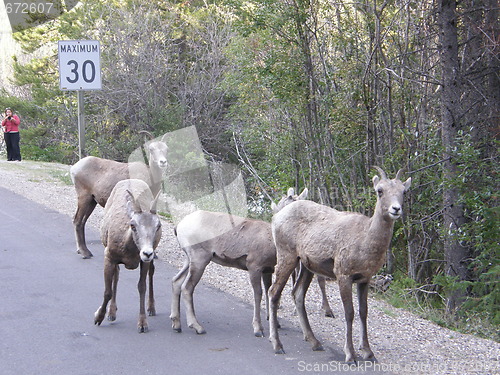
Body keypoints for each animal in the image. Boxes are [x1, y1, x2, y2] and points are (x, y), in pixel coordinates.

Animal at [94, 178, 162, 332]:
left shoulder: (144, 262)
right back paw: (111, 313)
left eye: (158, 226)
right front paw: (98, 317)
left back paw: (151, 308)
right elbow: (108, 291)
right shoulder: (109, 258)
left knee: (151, 273)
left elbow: (142, 287)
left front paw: (142, 324)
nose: (147, 253)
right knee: (117, 276)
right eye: (133, 225)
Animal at [268, 167, 412, 364]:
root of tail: (278, 215)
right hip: (287, 257)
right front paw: (351, 355)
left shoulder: (364, 280)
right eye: (380, 191)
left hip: (306, 267)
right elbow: (349, 313)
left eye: (404, 192)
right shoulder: (344, 277)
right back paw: (277, 345)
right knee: (274, 293)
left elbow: (363, 313)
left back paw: (315, 342)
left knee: (297, 295)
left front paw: (368, 353)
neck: (366, 239)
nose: (396, 209)